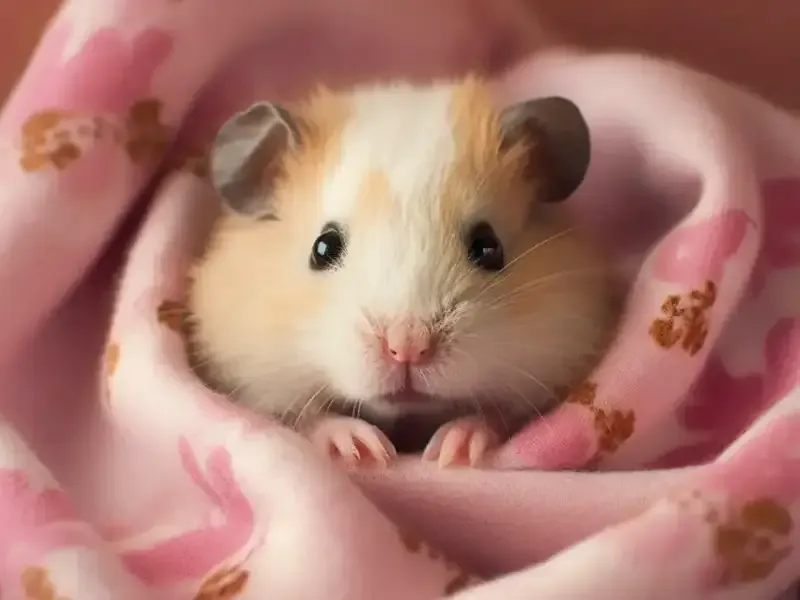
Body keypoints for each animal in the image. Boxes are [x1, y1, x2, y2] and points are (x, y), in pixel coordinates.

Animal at [187, 76, 621, 468]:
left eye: (488, 247)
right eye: (322, 248)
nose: (407, 347)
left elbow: (496, 415)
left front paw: (452, 450)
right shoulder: (255, 378)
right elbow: (310, 418)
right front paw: (364, 451)